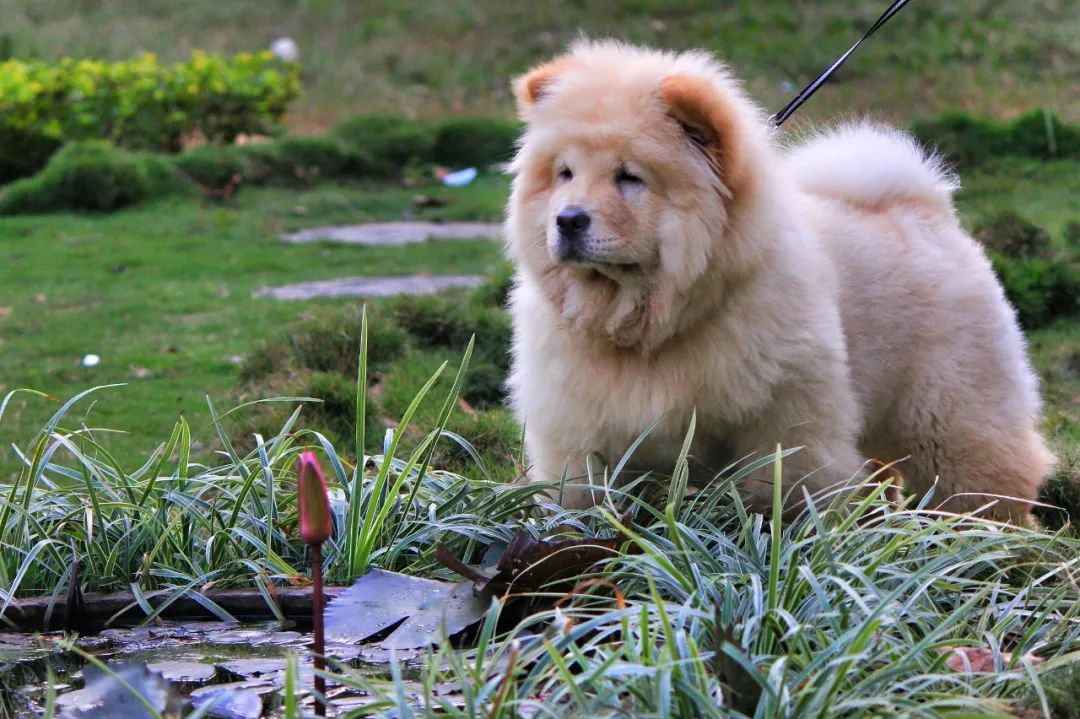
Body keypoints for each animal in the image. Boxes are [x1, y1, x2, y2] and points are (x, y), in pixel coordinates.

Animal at [505, 40, 1054, 520]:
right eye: (565, 174)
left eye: (629, 177)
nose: (567, 220)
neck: (645, 325)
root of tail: (922, 207)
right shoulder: (581, 431)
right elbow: (582, 497)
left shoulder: (783, 419)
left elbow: (784, 491)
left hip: (952, 416)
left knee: (987, 488)